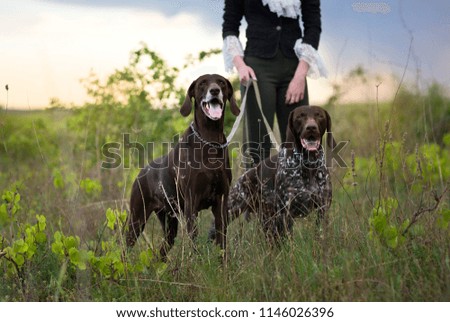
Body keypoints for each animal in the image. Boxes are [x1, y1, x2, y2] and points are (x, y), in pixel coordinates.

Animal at [126, 75, 239, 260]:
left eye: (221, 82)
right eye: (202, 83)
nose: (215, 90)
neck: (210, 140)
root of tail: (141, 173)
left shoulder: (221, 202)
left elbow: (222, 241)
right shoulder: (191, 204)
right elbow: (194, 242)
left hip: (169, 223)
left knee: (162, 251)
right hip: (137, 218)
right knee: (124, 248)